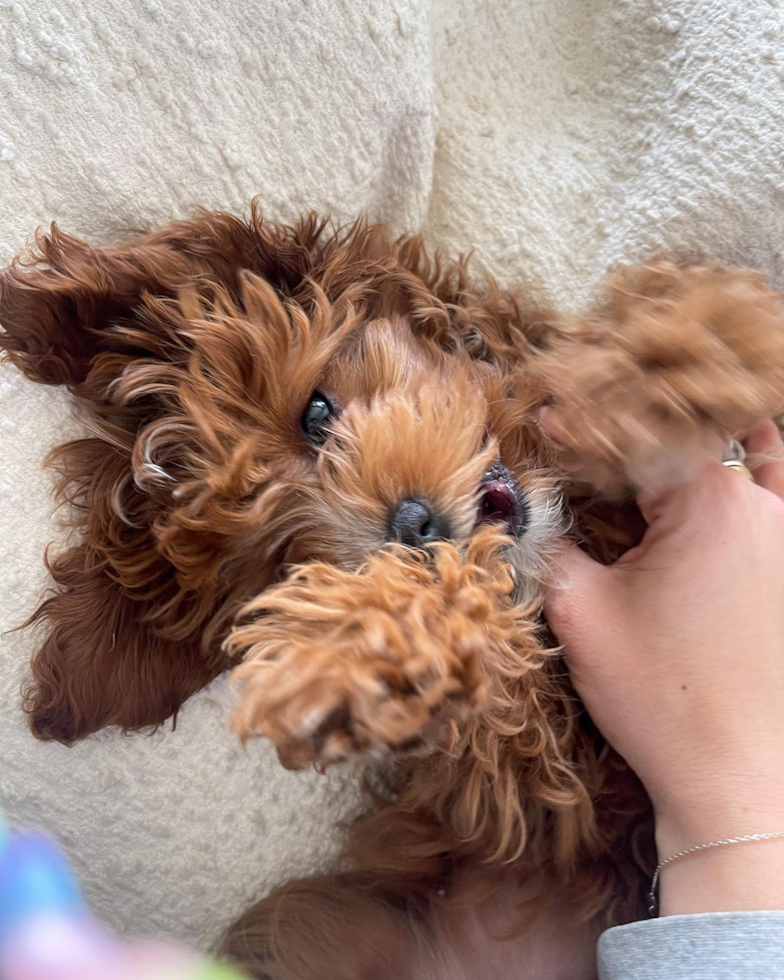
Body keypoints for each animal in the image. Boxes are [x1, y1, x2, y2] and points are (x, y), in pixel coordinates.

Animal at [1, 201, 784, 980]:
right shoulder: (545, 788)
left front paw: (676, 357)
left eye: (317, 414)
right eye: (286, 568)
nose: (415, 528)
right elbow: (500, 690)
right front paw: (354, 651)